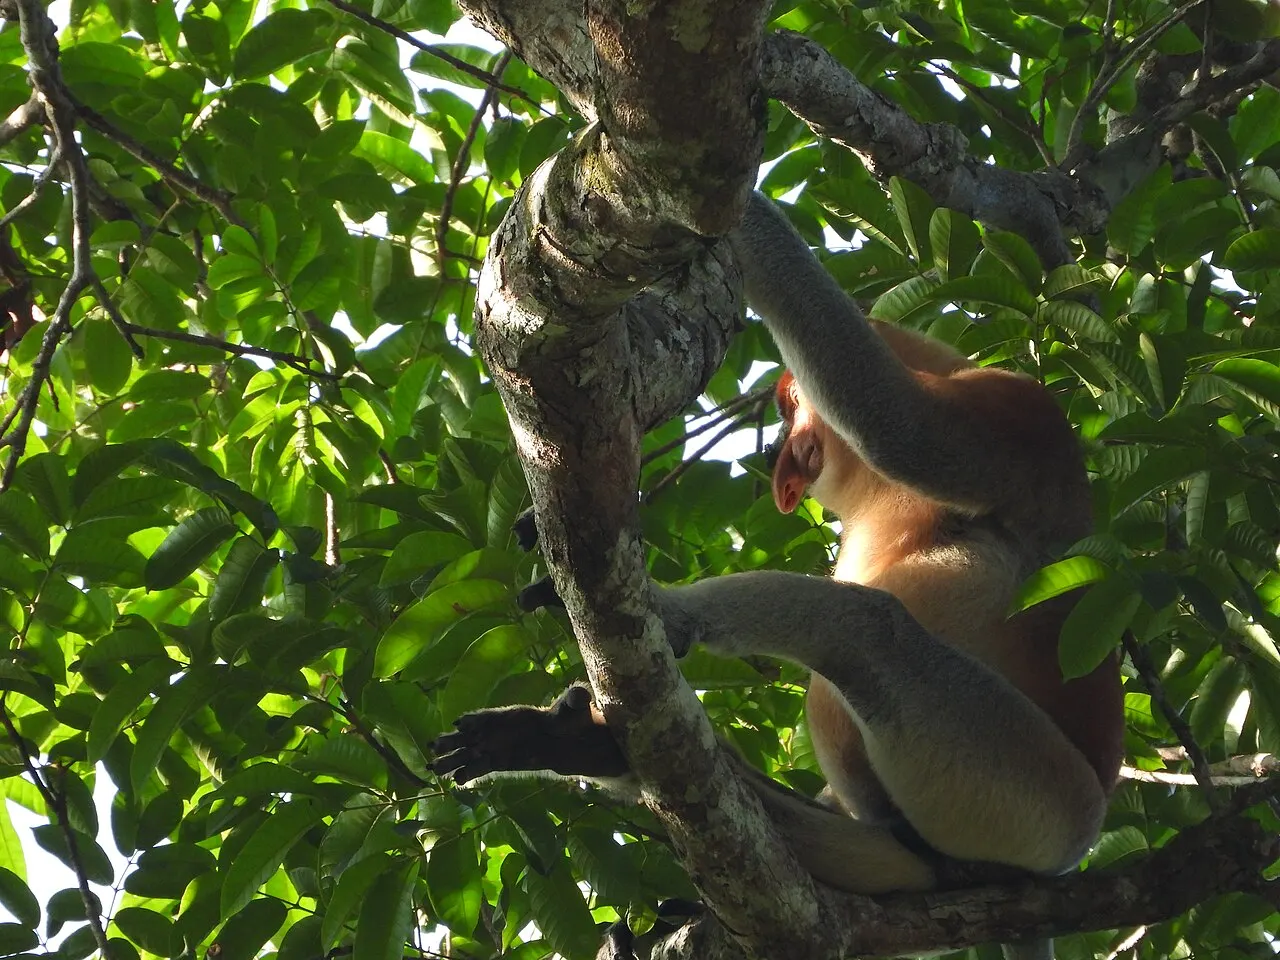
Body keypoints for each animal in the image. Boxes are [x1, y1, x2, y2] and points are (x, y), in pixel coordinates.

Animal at [434, 192, 1125, 959]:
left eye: (792, 406)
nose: (781, 460)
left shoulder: (1014, 407)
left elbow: (897, 424)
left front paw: (747, 219)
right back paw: (585, 746)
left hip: (1036, 798)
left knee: (869, 628)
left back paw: (662, 625)